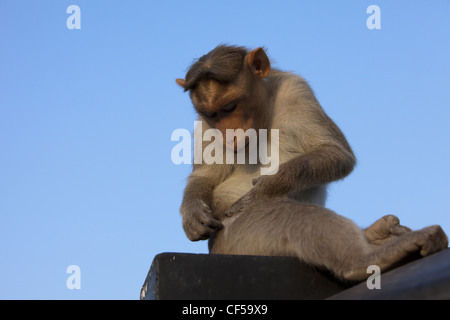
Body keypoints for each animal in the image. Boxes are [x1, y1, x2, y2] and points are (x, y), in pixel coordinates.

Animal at [175, 44, 446, 280]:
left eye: (230, 107)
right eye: (212, 114)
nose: (229, 134)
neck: (262, 116)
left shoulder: (296, 90)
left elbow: (335, 153)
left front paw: (267, 187)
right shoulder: (204, 126)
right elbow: (205, 177)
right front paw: (193, 214)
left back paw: (375, 236)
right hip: (237, 236)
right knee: (296, 219)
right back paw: (362, 260)